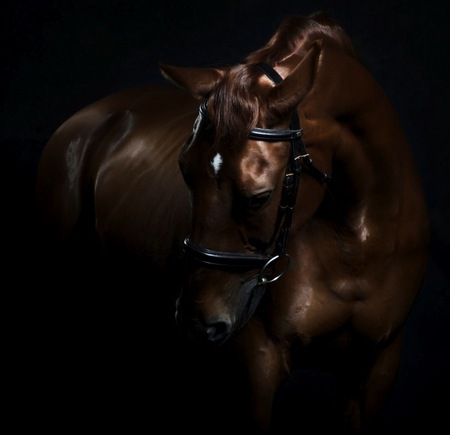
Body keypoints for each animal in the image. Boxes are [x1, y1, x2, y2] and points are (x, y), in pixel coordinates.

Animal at [36, 11, 428, 435]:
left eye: (259, 197)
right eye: (185, 173)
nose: (196, 323)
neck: (355, 242)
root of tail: (84, 120)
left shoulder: (375, 370)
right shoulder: (256, 366)